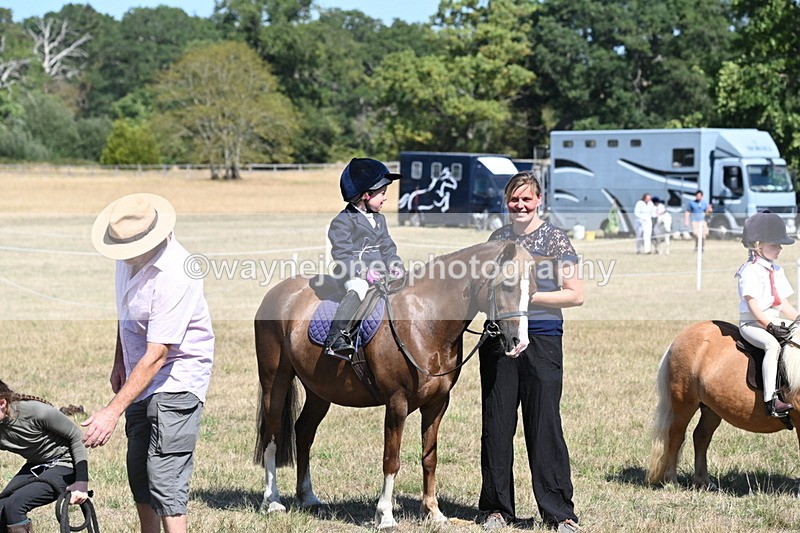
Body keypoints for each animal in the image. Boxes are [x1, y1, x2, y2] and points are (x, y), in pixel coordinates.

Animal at [253, 240, 533, 529]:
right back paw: (271, 501)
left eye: (532, 290)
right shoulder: (397, 403)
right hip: (275, 382)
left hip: (319, 392)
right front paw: (385, 515)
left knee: (304, 432)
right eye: (507, 285)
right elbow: (392, 459)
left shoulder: (437, 404)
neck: (425, 319)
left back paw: (307, 496)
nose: (519, 343)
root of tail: (278, 292)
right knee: (271, 437)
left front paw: (433, 512)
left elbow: (429, 458)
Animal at [646, 320, 800, 489]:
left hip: (710, 408)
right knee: (676, 436)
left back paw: (704, 482)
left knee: (701, 437)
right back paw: (671, 481)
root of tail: (681, 336)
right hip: (683, 403)